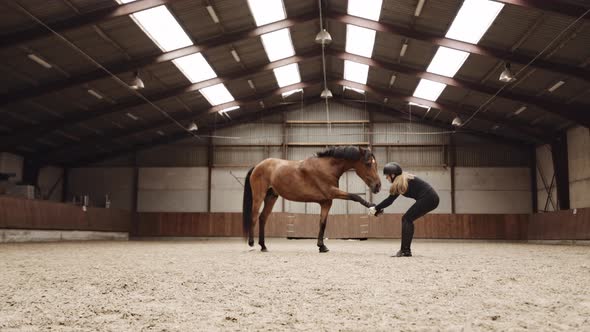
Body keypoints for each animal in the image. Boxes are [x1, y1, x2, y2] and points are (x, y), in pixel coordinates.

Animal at [243, 147, 382, 253]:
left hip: (271, 197)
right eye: (368, 163)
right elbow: (355, 196)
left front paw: (322, 246)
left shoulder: (326, 202)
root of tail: (258, 166)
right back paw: (251, 243)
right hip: (259, 196)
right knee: (254, 216)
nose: (378, 186)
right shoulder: (332, 192)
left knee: (263, 218)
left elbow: (322, 223)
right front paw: (374, 209)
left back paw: (263, 246)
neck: (327, 167)